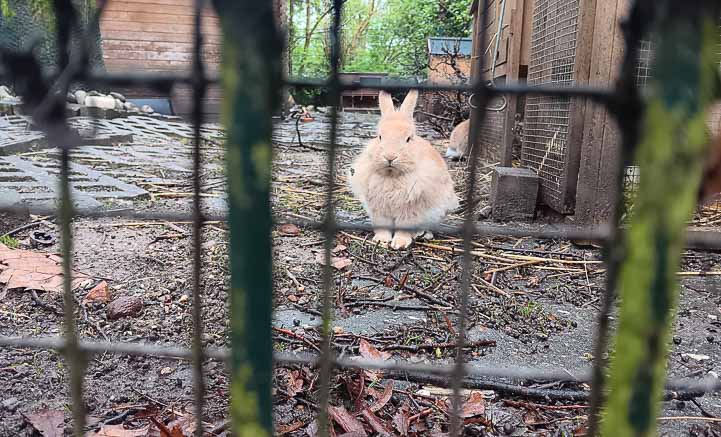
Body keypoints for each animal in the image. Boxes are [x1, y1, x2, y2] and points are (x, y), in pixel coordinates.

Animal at [348, 90, 458, 249]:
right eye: (379, 136)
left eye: (408, 138)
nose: (390, 156)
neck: (392, 175)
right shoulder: (379, 210)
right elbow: (382, 226)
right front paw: (381, 240)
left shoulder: (410, 209)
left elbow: (404, 227)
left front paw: (400, 243)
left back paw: (422, 234)